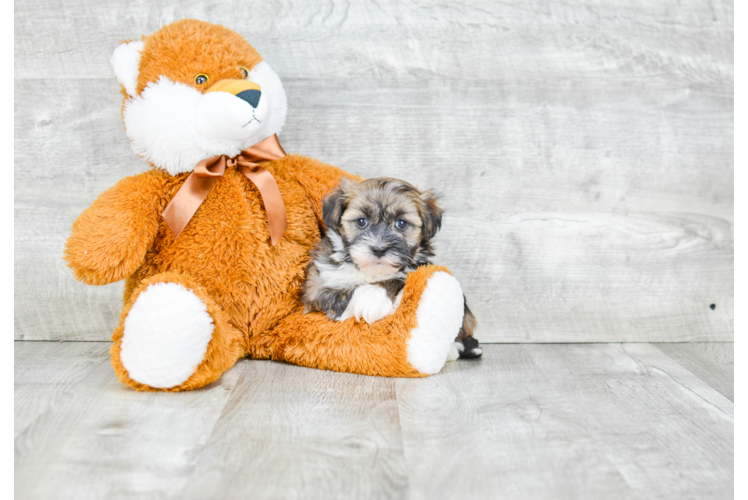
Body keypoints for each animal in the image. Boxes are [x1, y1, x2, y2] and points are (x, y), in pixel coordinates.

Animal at [300, 176, 482, 360]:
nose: (379, 249)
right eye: (361, 221)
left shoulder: (417, 269)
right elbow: (333, 296)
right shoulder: (317, 283)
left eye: (401, 223)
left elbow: (397, 278)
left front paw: (372, 297)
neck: (371, 272)